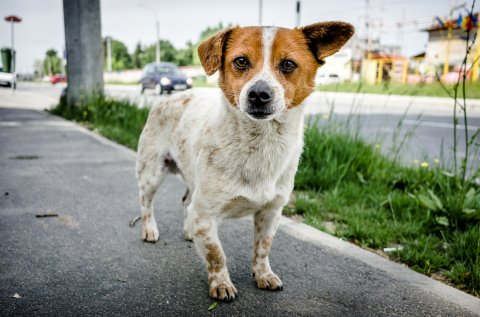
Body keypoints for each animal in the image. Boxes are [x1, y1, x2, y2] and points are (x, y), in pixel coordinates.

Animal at [137, 21, 354, 298]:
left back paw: (188, 232)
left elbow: (262, 248)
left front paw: (263, 275)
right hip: (151, 172)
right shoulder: (206, 214)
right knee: (146, 202)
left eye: (288, 64)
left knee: (187, 202)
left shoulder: (271, 212)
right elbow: (216, 253)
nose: (259, 94)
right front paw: (221, 284)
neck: (258, 144)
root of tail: (168, 97)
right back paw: (149, 230)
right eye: (240, 61)